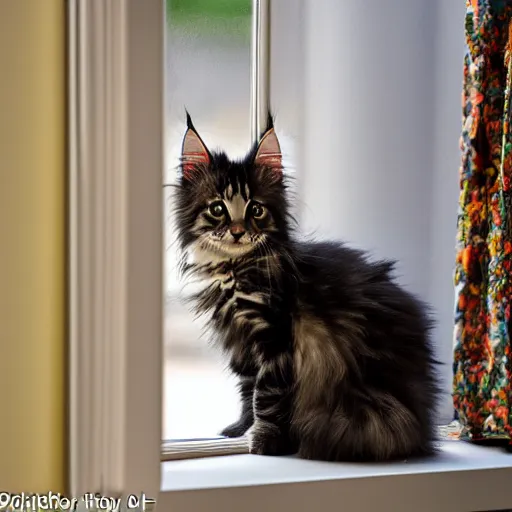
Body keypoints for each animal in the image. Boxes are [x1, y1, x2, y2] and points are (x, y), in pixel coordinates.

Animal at [175, 113, 440, 464]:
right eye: (217, 209)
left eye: (256, 210)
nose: (237, 231)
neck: (233, 269)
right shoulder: (242, 344)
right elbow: (247, 391)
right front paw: (238, 429)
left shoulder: (273, 335)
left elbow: (266, 395)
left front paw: (264, 441)